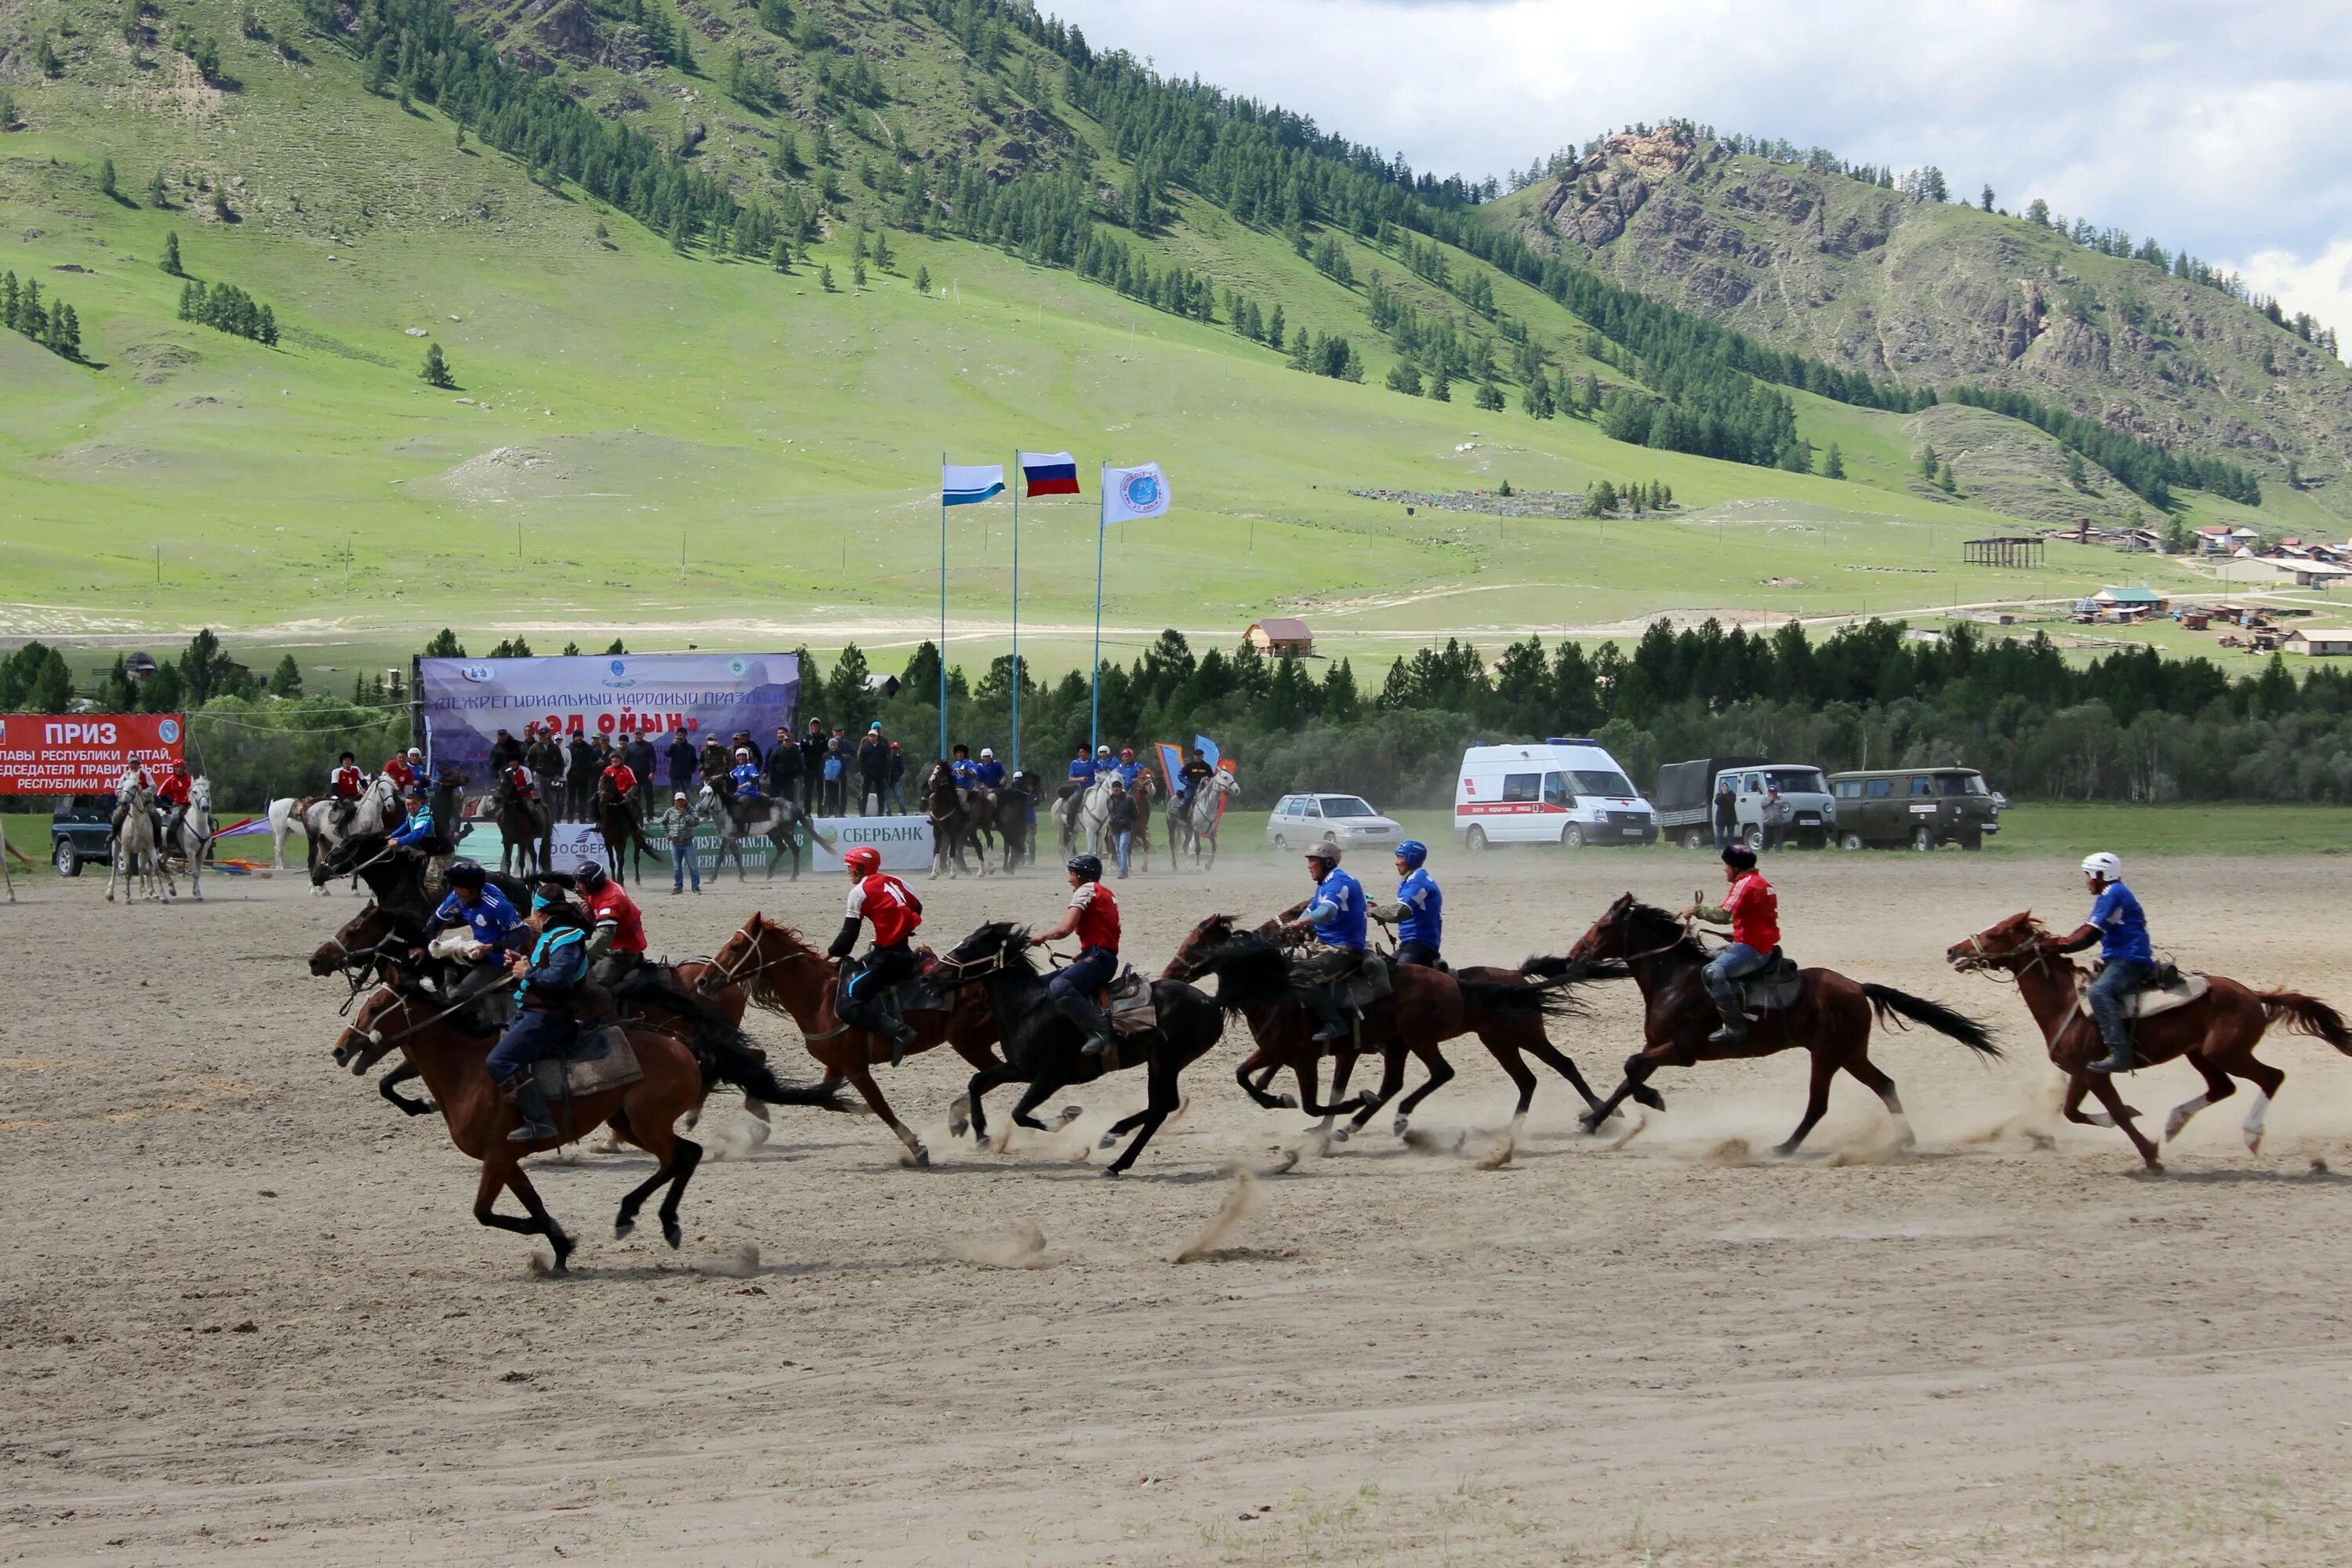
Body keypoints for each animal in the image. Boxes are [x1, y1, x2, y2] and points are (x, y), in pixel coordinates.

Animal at [1571, 888, 1994, 1161]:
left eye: (1603, 927)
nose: (1575, 955)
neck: (1674, 978)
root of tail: (1857, 986)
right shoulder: (1656, 1048)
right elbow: (1626, 1080)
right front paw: (1593, 1121)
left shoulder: (1681, 1050)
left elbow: (1631, 1069)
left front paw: (1653, 1100)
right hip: (1850, 1054)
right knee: (1885, 1085)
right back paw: (1902, 1141)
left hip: (1827, 1055)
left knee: (1819, 1104)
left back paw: (1785, 1147)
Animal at [1947, 912, 2352, 1171]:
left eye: (1995, 933)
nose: (1954, 951)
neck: (2066, 1003)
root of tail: (2253, 994)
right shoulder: (2082, 1072)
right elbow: (2075, 1112)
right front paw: (2136, 1121)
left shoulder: (2096, 1072)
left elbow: (2109, 1115)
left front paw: (2150, 1153)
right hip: (2199, 1054)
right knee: (2222, 1088)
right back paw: (2174, 1123)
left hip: (2227, 1052)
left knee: (2271, 1077)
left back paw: (2251, 1134)